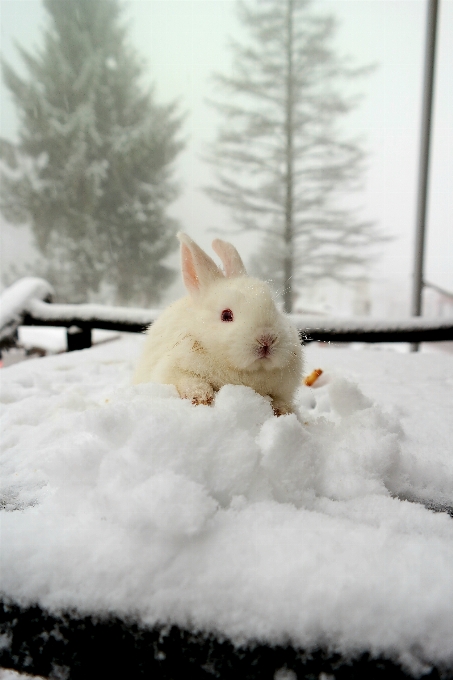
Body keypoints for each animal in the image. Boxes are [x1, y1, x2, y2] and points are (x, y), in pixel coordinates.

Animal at [134, 232, 304, 414]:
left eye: (275, 309)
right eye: (226, 315)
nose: (267, 339)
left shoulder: (283, 391)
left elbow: (280, 399)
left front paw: (282, 410)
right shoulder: (173, 369)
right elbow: (188, 381)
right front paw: (202, 397)